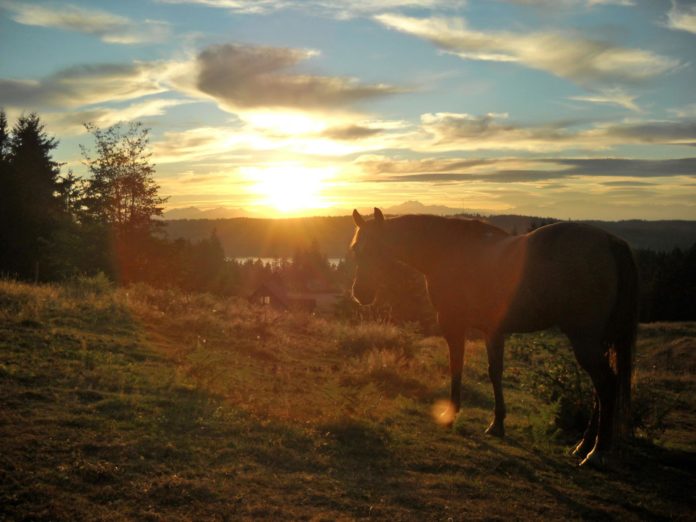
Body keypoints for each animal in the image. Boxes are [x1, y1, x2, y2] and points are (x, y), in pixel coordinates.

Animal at [350, 207, 640, 468]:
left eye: (375, 249)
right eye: (355, 250)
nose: (360, 293)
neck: (448, 251)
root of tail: (610, 242)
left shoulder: (454, 324)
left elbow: (457, 367)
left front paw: (450, 413)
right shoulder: (493, 331)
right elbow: (495, 372)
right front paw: (497, 423)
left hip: (585, 340)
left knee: (606, 384)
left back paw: (596, 452)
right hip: (599, 342)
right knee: (600, 389)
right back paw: (583, 445)